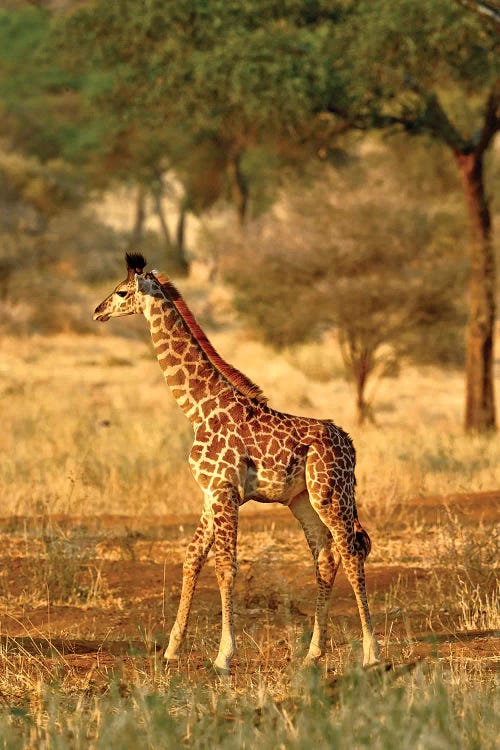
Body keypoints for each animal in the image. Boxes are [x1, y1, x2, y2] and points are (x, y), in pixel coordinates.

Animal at [93, 256, 378, 680]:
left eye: (122, 292)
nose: (98, 311)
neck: (198, 408)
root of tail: (350, 444)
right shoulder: (210, 492)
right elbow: (192, 556)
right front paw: (172, 650)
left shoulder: (224, 491)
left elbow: (226, 565)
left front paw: (223, 656)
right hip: (302, 501)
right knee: (326, 557)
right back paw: (313, 654)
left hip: (332, 495)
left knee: (352, 552)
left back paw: (372, 654)